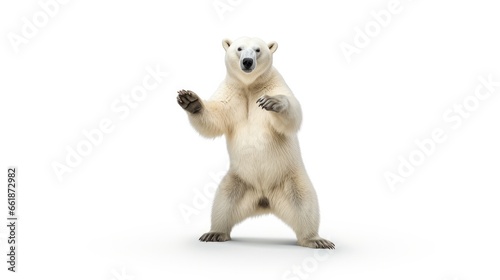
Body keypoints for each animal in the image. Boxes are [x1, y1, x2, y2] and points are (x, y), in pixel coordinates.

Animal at [178, 37, 334, 249]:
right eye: (239, 48)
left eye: (258, 50)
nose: (247, 62)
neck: (250, 86)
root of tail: (264, 199)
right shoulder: (232, 93)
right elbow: (216, 117)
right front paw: (190, 100)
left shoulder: (275, 84)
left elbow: (291, 115)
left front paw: (274, 103)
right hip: (239, 181)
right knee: (223, 202)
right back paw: (215, 233)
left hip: (290, 178)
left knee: (304, 203)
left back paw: (315, 239)